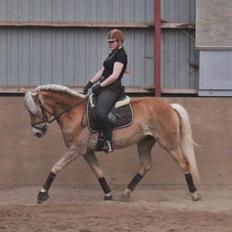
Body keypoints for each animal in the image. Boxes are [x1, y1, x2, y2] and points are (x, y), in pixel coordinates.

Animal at [24, 84, 200, 203]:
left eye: (34, 110)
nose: (36, 133)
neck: (73, 112)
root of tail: (170, 106)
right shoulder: (86, 151)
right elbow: (98, 171)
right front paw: (108, 194)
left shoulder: (76, 149)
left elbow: (56, 167)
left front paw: (42, 194)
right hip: (144, 142)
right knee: (146, 165)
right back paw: (126, 193)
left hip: (169, 143)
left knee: (184, 164)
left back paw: (195, 194)